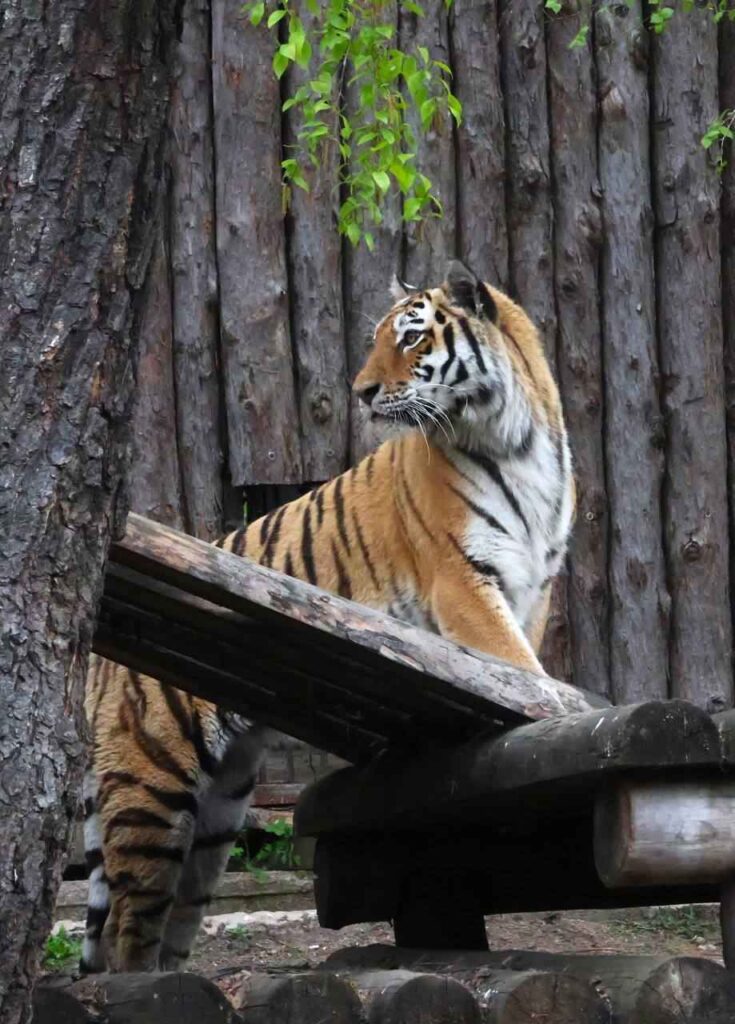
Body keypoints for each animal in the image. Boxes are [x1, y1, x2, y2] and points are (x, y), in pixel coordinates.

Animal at [81, 259, 574, 973]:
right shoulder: (462, 581)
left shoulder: (533, 590)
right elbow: (525, 677)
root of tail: (95, 667)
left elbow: (527, 674)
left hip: (216, 815)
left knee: (164, 926)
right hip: (151, 786)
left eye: (411, 339)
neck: (518, 442)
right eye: (376, 340)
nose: (362, 392)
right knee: (127, 935)